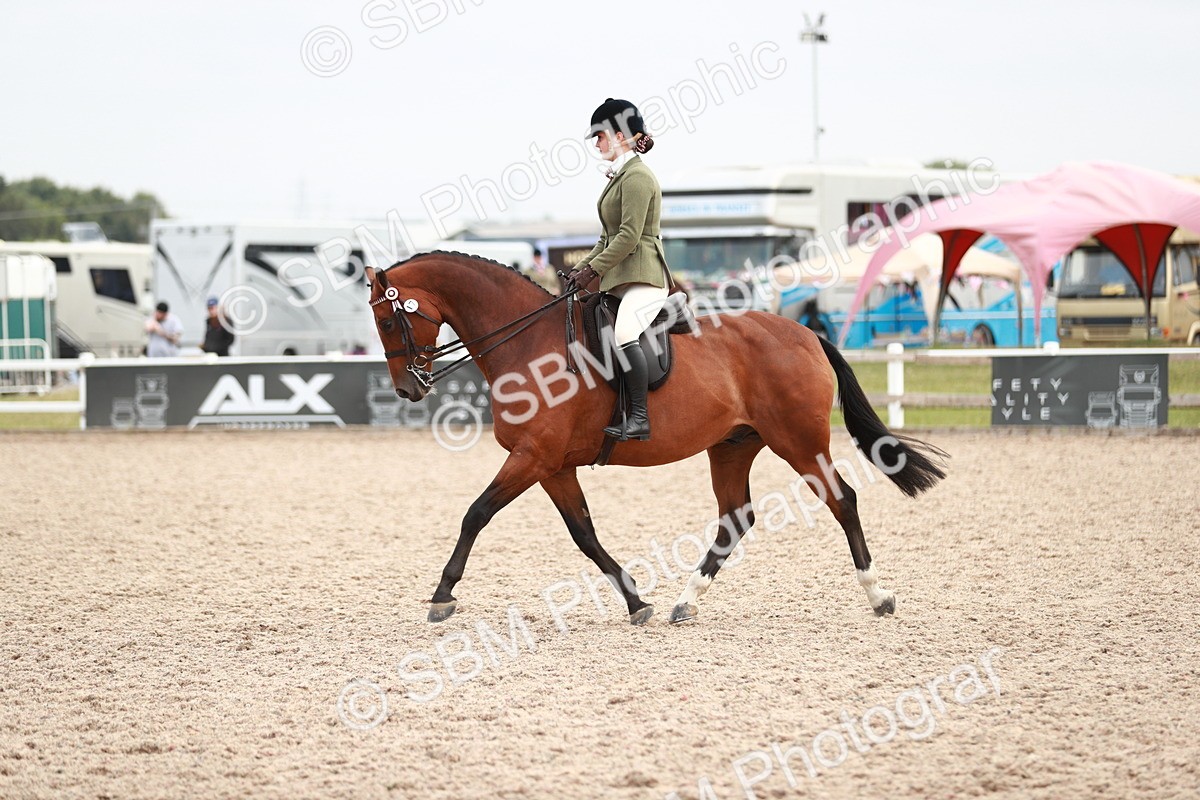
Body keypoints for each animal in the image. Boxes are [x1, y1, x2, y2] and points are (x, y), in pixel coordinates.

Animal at [366, 251, 946, 626]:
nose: (407, 388)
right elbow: (584, 534)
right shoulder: (552, 465)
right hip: (733, 446)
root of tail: (805, 333)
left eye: (389, 322)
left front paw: (442, 595)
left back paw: (878, 596)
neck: (527, 343)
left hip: (799, 442)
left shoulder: (533, 458)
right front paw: (636, 601)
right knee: (735, 519)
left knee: (841, 500)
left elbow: (476, 514)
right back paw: (685, 602)